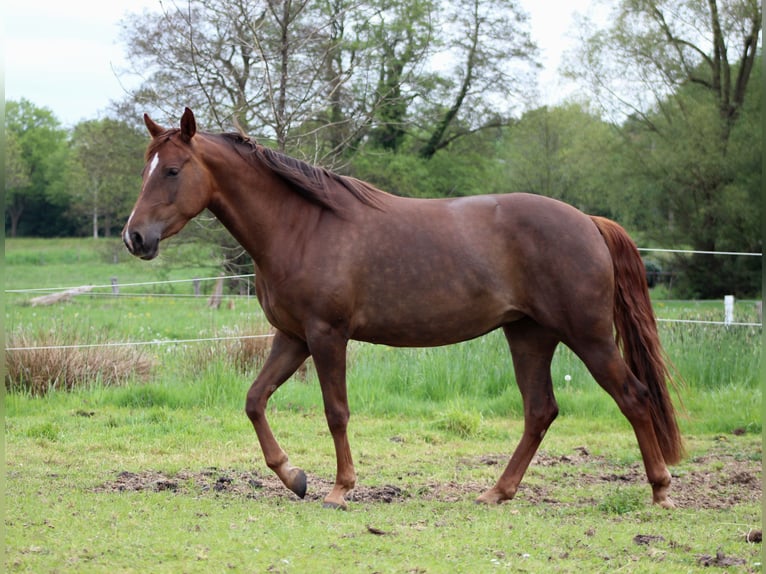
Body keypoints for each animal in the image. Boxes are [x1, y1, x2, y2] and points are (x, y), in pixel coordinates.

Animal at [123, 108, 683, 510]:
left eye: (172, 170)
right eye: (145, 170)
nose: (135, 237)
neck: (303, 226)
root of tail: (588, 221)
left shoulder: (326, 336)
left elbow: (336, 412)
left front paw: (340, 489)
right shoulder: (293, 338)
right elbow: (254, 400)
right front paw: (294, 477)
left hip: (588, 336)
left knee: (633, 397)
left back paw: (659, 490)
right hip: (529, 335)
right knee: (540, 411)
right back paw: (496, 492)